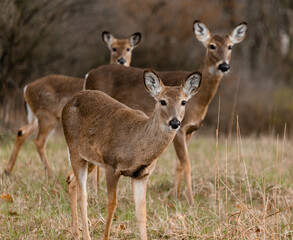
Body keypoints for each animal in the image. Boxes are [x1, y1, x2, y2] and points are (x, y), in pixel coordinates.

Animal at [4, 31, 141, 176]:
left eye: (128, 48)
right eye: (114, 48)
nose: (122, 60)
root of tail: (27, 88)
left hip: (43, 118)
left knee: (22, 132)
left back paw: (8, 170)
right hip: (46, 117)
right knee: (39, 141)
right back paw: (50, 174)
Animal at [63, 69, 201, 240]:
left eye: (183, 102)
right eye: (162, 101)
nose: (175, 122)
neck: (136, 147)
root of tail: (69, 102)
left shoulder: (141, 175)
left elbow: (141, 213)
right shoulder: (111, 165)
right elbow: (111, 205)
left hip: (89, 159)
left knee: (71, 180)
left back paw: (76, 233)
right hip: (74, 149)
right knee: (83, 196)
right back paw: (85, 235)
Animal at [84, 20, 246, 205]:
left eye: (230, 46)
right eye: (211, 46)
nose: (224, 66)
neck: (198, 101)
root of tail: (89, 75)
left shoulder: (190, 130)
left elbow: (178, 164)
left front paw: (175, 196)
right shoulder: (180, 128)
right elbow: (187, 163)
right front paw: (191, 200)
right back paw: (94, 193)